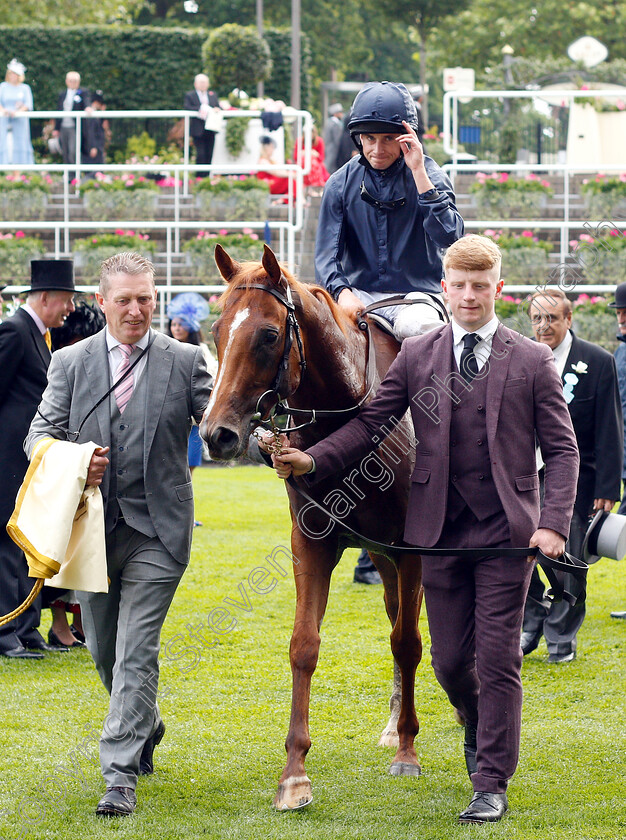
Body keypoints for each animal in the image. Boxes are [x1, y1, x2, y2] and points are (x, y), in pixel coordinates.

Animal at [200, 246, 424, 812]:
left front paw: (408, 752)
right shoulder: (313, 543)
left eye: (268, 335)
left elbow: (408, 642)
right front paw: (294, 774)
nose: (216, 434)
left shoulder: (413, 549)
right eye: (216, 329)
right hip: (382, 559)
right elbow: (304, 645)